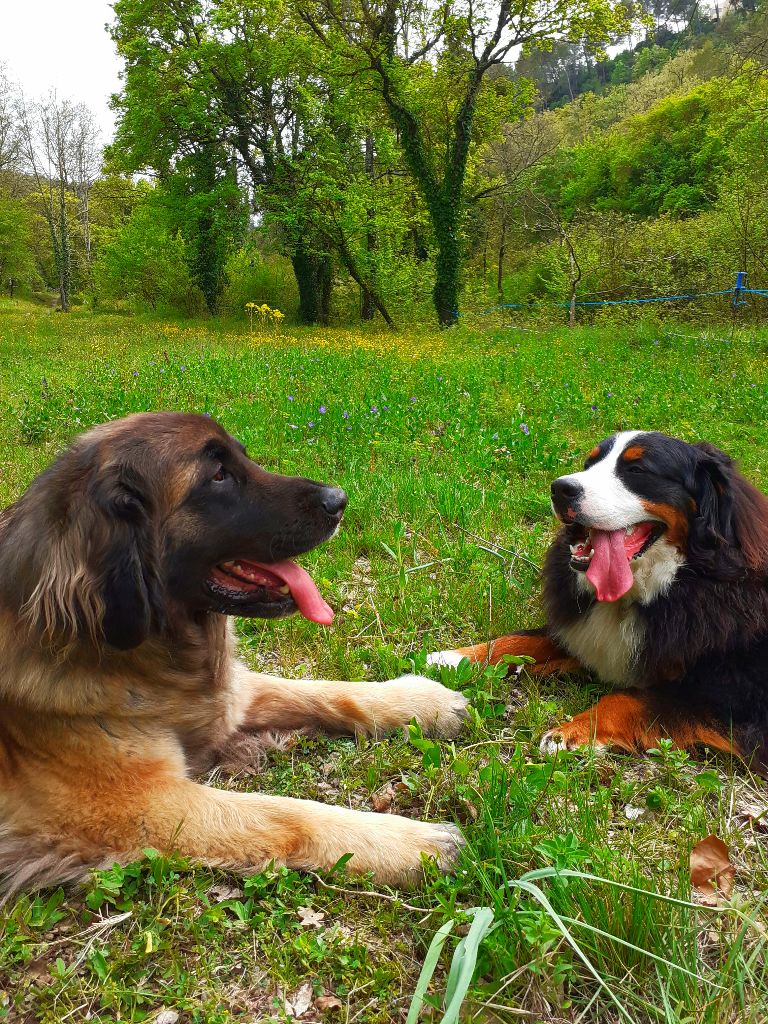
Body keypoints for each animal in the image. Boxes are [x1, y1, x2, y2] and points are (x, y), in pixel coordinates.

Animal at [0, 409, 468, 897]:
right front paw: (410, 841)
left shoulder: (227, 695)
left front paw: (424, 702)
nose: (339, 500)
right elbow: (285, 813)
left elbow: (326, 691)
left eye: (242, 457)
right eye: (218, 476)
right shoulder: (138, 805)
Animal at [430, 428, 768, 770]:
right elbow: (522, 639)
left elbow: (629, 698)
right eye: (589, 463)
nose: (560, 489)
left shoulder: (734, 696)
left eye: (637, 469)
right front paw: (454, 658)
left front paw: (570, 733)